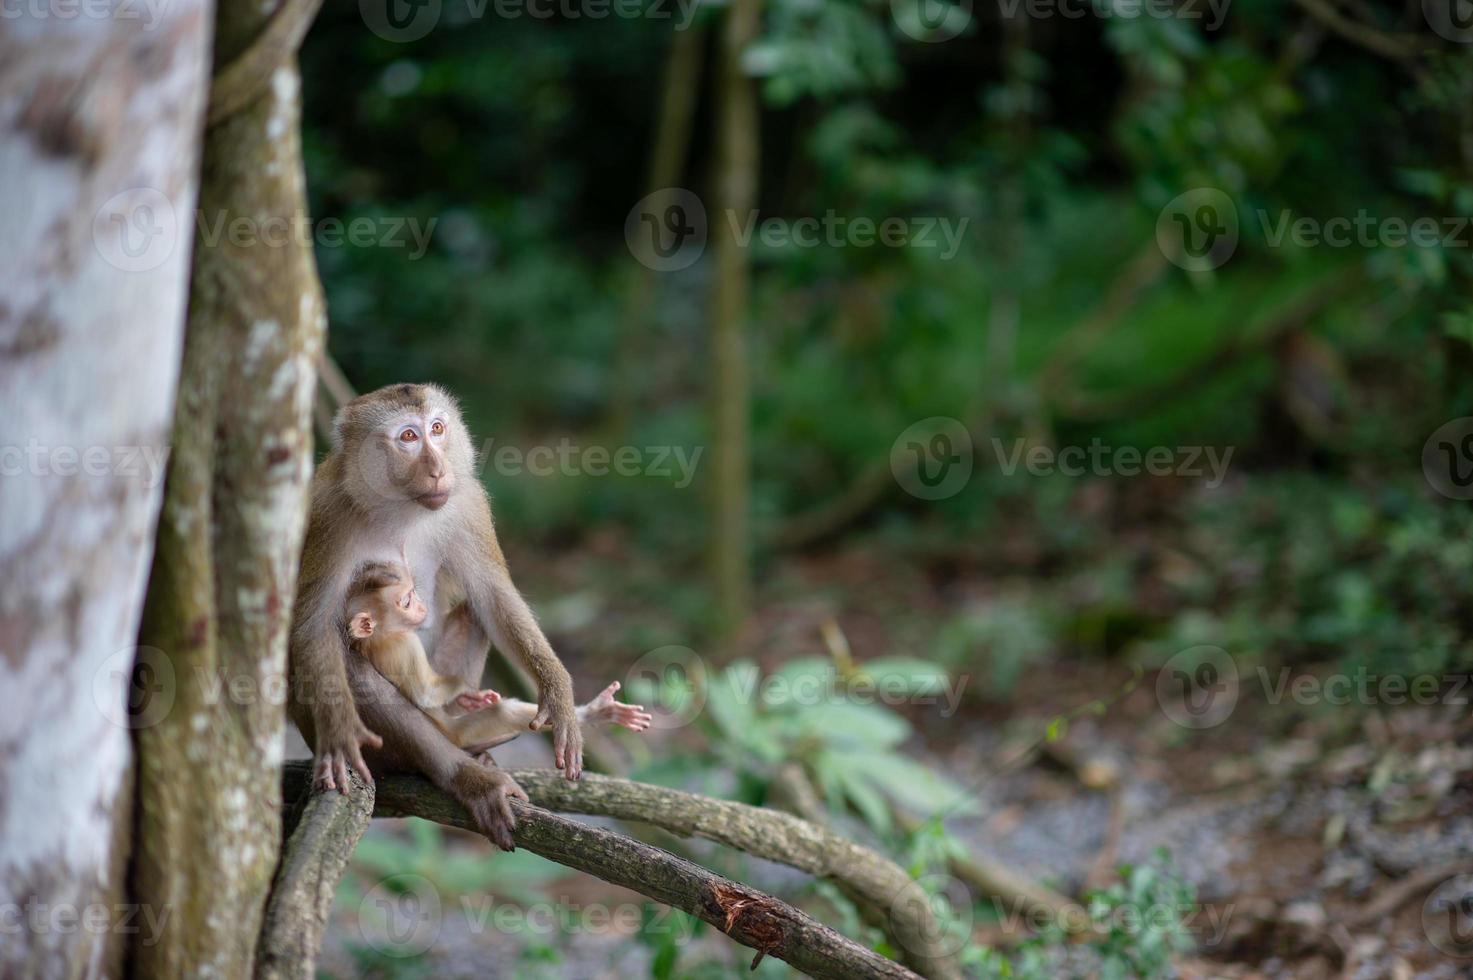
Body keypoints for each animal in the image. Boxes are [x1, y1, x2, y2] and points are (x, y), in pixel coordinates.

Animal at [287, 383, 580, 848]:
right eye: (408, 437)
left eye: (438, 429)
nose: (439, 469)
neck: (400, 509)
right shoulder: (327, 516)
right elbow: (313, 627)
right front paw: (339, 734)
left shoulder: (468, 503)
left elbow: (494, 598)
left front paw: (558, 693)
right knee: (354, 667)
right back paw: (466, 775)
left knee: (474, 612)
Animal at [347, 557, 654, 748]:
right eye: (407, 601)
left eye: (413, 595)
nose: (422, 607)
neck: (378, 638)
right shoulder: (404, 644)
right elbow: (425, 693)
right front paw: (466, 690)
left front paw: (469, 697)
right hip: (459, 734)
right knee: (501, 713)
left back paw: (598, 712)